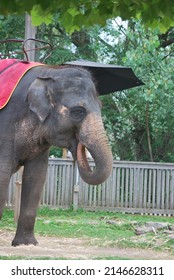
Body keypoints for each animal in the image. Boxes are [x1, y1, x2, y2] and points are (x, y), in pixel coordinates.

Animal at [0, 63, 113, 245]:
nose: (80, 145)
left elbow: (36, 176)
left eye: (101, 106)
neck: (50, 72)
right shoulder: (5, 125)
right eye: (78, 111)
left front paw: (26, 244)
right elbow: (2, 174)